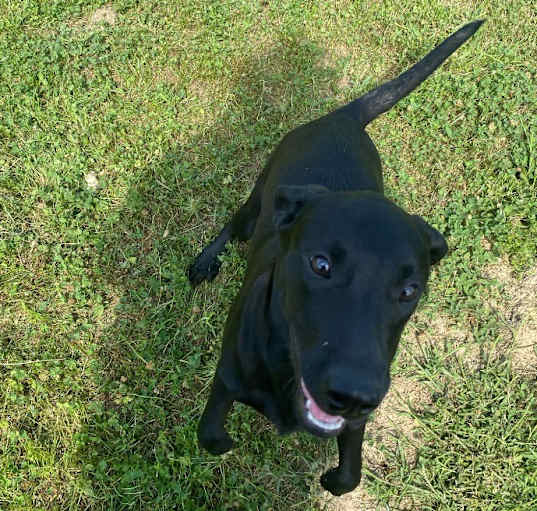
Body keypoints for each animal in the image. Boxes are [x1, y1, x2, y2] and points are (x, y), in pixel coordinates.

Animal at [188, 22, 482, 498]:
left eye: (410, 290)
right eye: (320, 264)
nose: (355, 395)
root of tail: (343, 117)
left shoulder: (354, 424)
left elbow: (349, 476)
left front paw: (334, 477)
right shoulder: (226, 379)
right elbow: (212, 435)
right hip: (259, 196)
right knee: (234, 226)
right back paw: (205, 262)